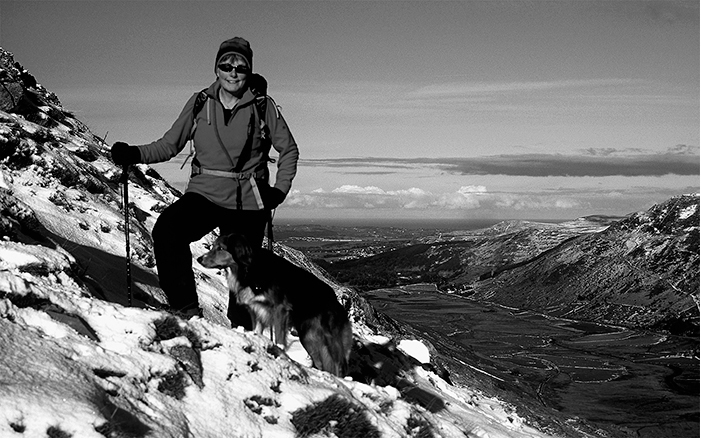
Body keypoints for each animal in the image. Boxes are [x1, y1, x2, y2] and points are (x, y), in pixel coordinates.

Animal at [196, 235, 350, 376]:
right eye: (213, 246)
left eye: (221, 248)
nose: (199, 259)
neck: (250, 269)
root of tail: (334, 298)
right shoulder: (256, 310)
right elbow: (257, 330)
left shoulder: (280, 310)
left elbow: (279, 339)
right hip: (309, 338)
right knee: (321, 363)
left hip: (329, 338)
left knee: (338, 365)